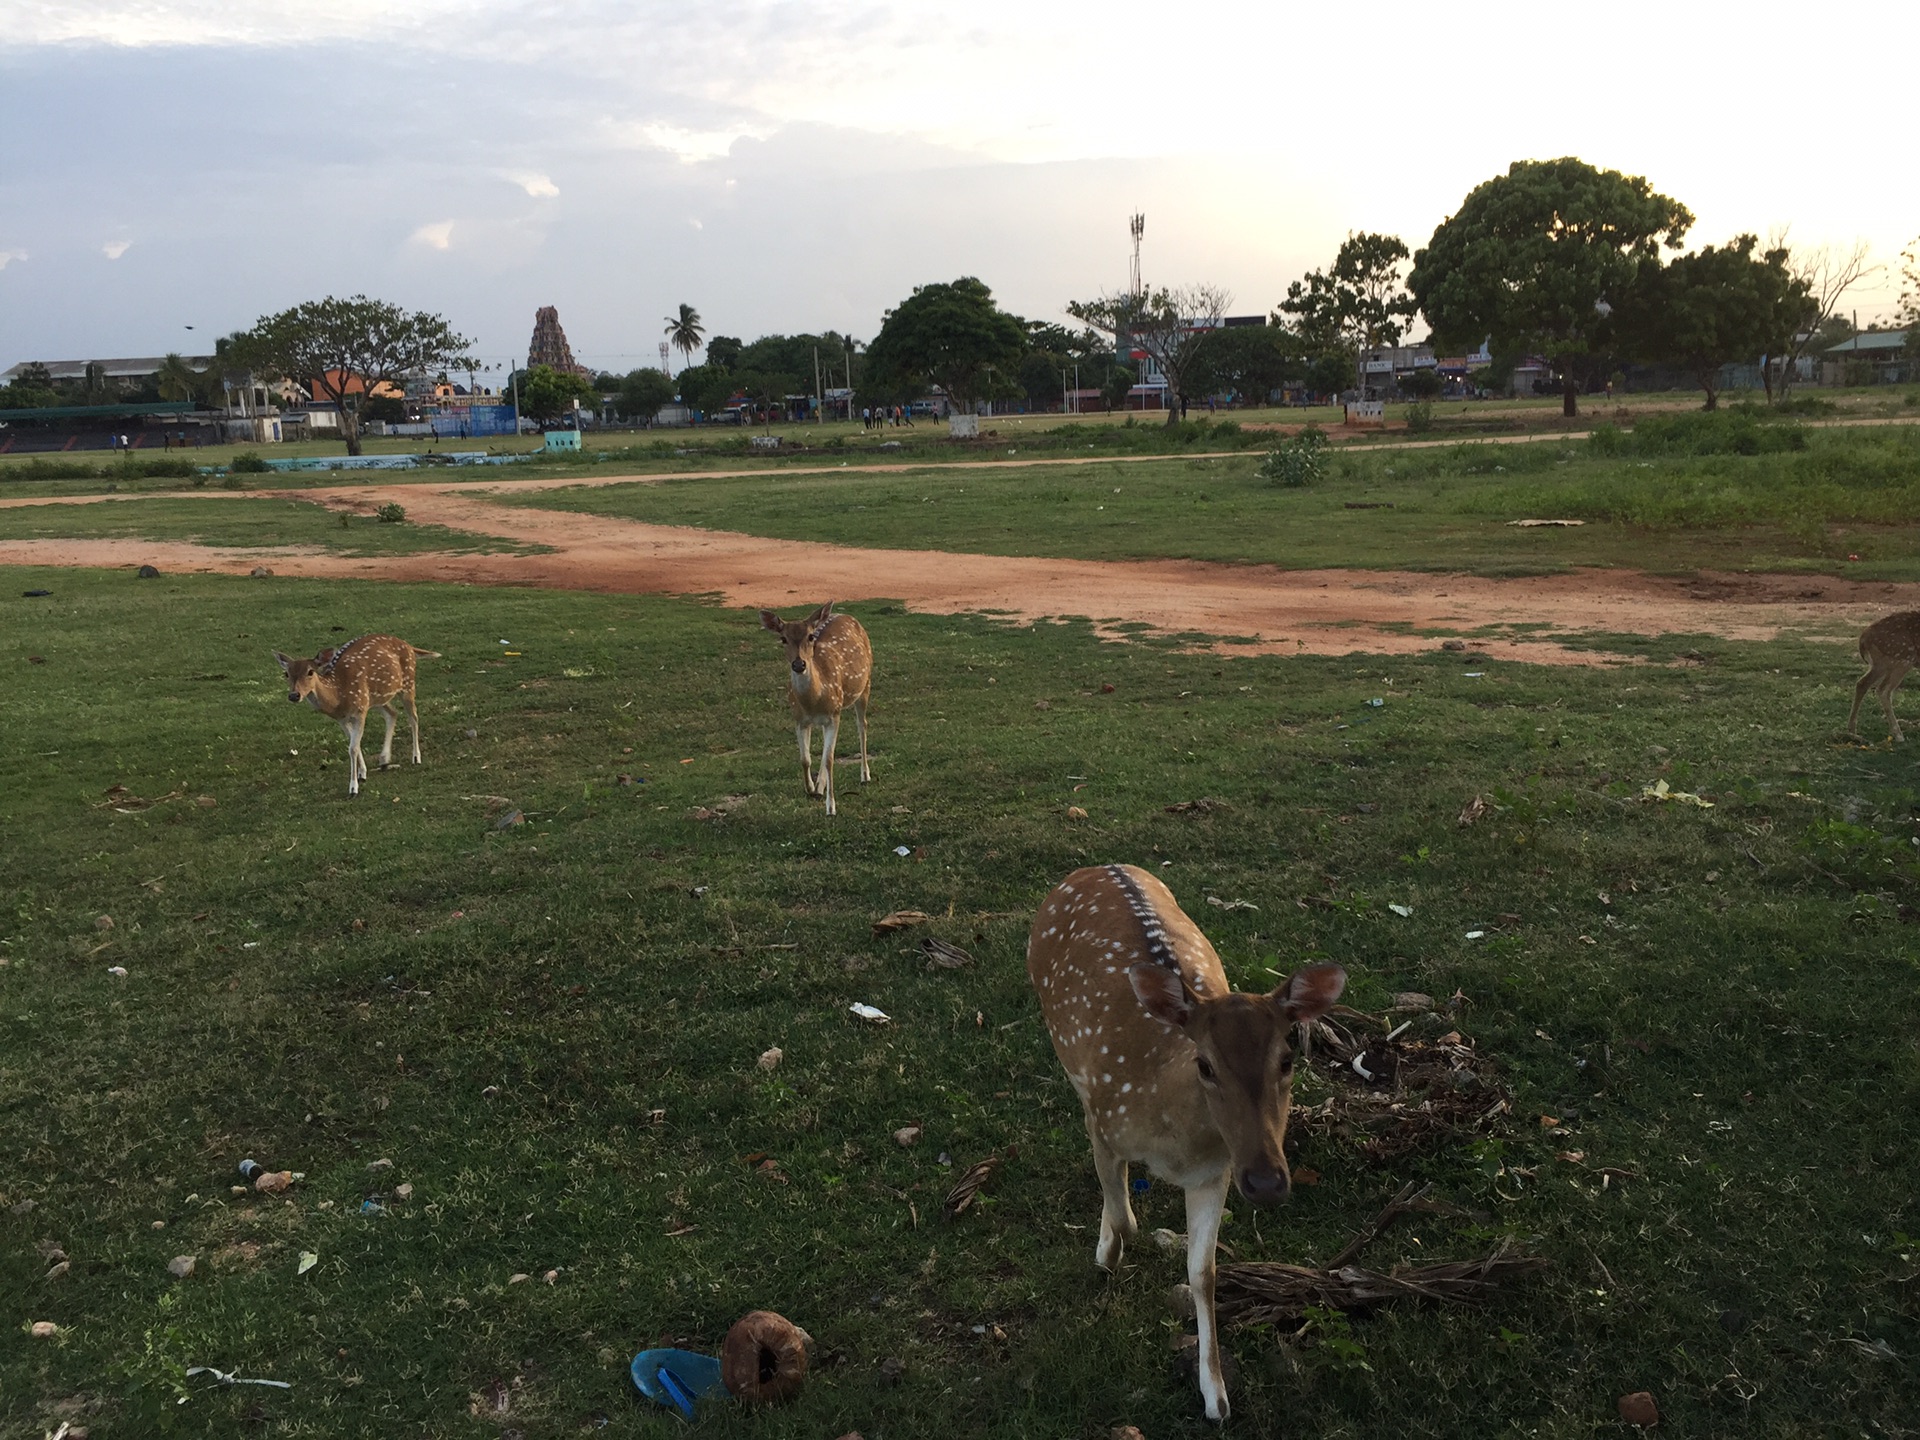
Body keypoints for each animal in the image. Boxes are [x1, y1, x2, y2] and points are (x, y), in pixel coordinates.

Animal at [272, 637, 439, 802]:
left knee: (413, 717)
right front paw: (362, 773)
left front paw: (353, 789)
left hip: (407, 684)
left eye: (310, 671)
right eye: (286, 673)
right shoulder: (342, 719)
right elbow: (355, 744)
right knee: (393, 713)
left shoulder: (360, 710)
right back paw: (384, 759)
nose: (294, 695)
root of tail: (409, 646)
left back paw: (416, 757)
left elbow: (352, 748)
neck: (338, 697)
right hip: (377, 698)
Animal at [760, 602, 875, 817]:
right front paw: (811, 789)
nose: (799, 664)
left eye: (811, 636)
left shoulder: (834, 715)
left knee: (862, 726)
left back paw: (865, 775)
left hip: (865, 684)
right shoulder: (799, 719)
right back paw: (820, 787)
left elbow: (829, 759)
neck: (813, 701)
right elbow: (805, 759)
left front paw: (831, 807)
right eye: (783, 638)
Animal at [1029, 864, 1344, 1428]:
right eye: (1206, 1064)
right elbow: (1124, 1218)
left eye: (1288, 1059)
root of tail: (1096, 867)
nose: (1266, 1181)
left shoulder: (1215, 1174)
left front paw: (1215, 1395)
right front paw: (1107, 1254)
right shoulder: (1105, 1123)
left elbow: (1204, 1274)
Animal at [1843, 610, 1920, 744]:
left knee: (1863, 683)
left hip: (1884, 663)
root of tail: (1863, 641)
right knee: (1883, 689)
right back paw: (1898, 734)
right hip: (1902, 658)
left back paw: (1852, 731)